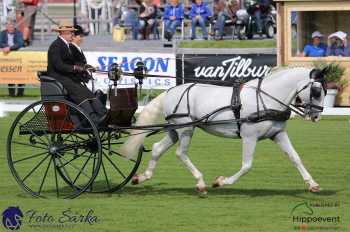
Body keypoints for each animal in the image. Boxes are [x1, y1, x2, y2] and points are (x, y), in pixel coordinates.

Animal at [118, 66, 328, 193]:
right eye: (316, 91)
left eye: (325, 91)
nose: (317, 117)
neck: (266, 98)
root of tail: (170, 91)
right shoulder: (249, 136)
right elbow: (247, 166)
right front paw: (221, 181)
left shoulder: (277, 134)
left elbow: (295, 157)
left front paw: (313, 184)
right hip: (186, 129)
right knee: (181, 153)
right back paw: (201, 183)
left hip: (175, 129)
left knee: (157, 148)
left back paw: (142, 177)